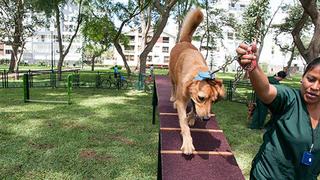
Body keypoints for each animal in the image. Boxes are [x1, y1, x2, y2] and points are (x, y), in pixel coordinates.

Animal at [169, 8, 224, 155]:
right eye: (202, 98)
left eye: (214, 101)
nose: (206, 118)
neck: (198, 69)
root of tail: (185, 41)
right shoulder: (183, 100)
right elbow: (183, 123)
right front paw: (188, 143)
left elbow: (194, 108)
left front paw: (192, 117)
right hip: (172, 76)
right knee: (173, 86)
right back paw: (173, 98)